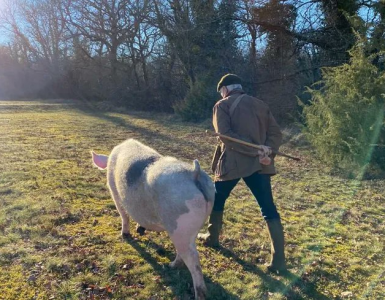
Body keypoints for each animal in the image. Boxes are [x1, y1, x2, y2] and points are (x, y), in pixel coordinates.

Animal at [91, 139, 214, 298]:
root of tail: (195, 173)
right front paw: (140, 229)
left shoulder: (115, 193)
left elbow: (124, 215)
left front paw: (125, 235)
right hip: (190, 228)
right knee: (186, 250)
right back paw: (171, 265)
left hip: (180, 225)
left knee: (193, 258)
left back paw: (198, 294)